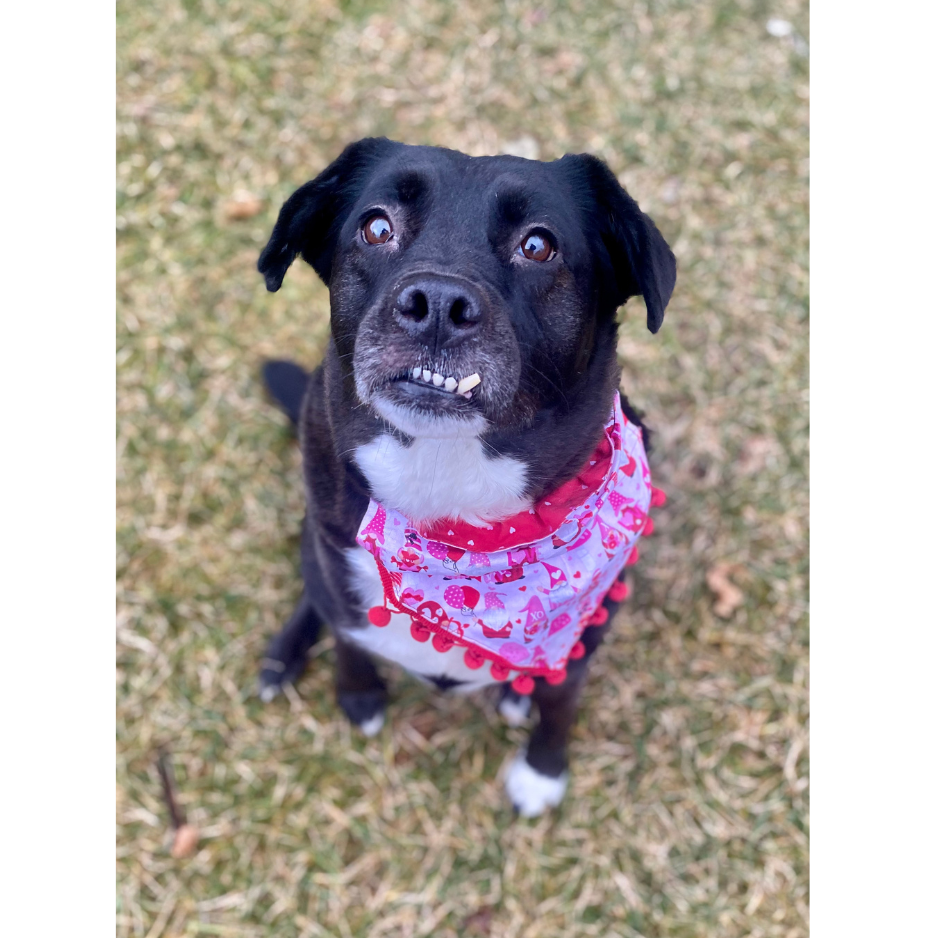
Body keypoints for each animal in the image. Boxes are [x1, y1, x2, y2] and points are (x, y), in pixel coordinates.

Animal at [254, 135, 672, 816]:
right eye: (376, 227)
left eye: (538, 245)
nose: (437, 307)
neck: (446, 485)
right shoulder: (332, 558)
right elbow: (347, 637)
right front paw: (358, 694)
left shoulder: (586, 630)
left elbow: (562, 701)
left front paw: (542, 772)